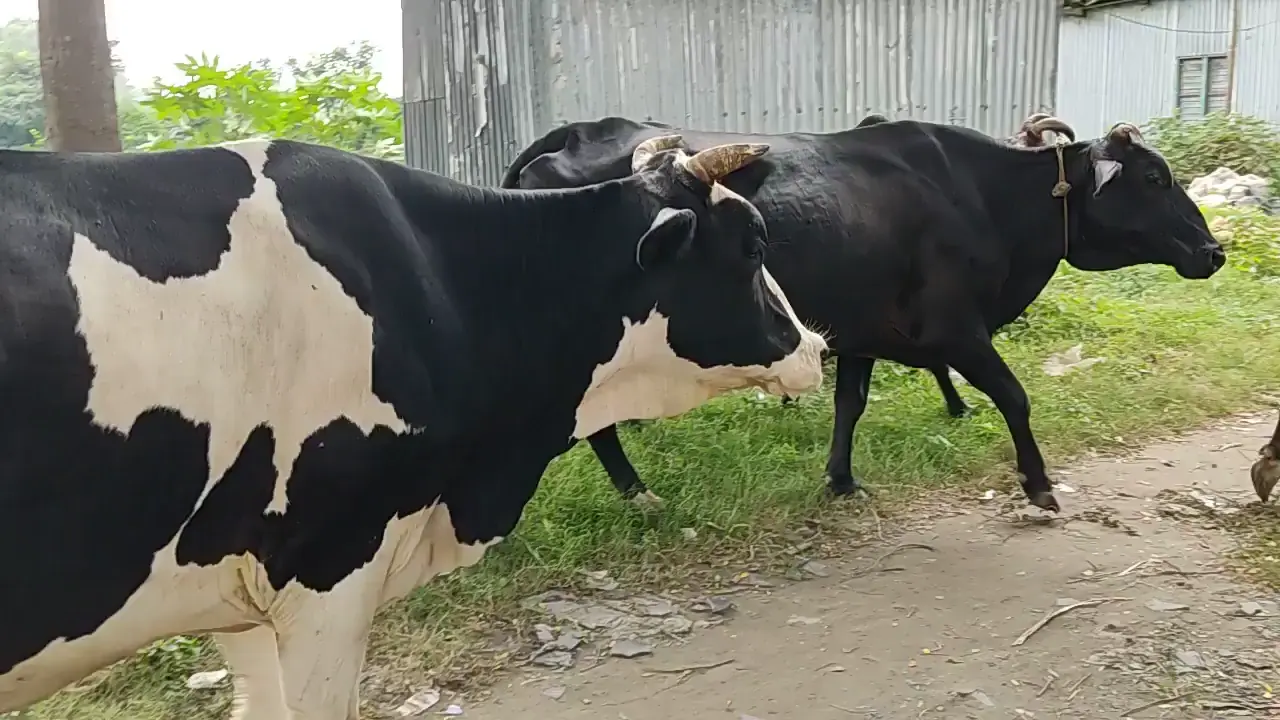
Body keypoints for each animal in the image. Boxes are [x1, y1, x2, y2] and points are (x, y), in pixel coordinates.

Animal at [502, 114, 1224, 515]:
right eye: (1155, 178)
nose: (1214, 251)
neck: (987, 197)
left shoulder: (860, 333)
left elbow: (850, 403)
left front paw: (841, 479)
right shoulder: (955, 328)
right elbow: (1015, 396)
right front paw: (1038, 482)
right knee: (596, 425)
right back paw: (637, 492)